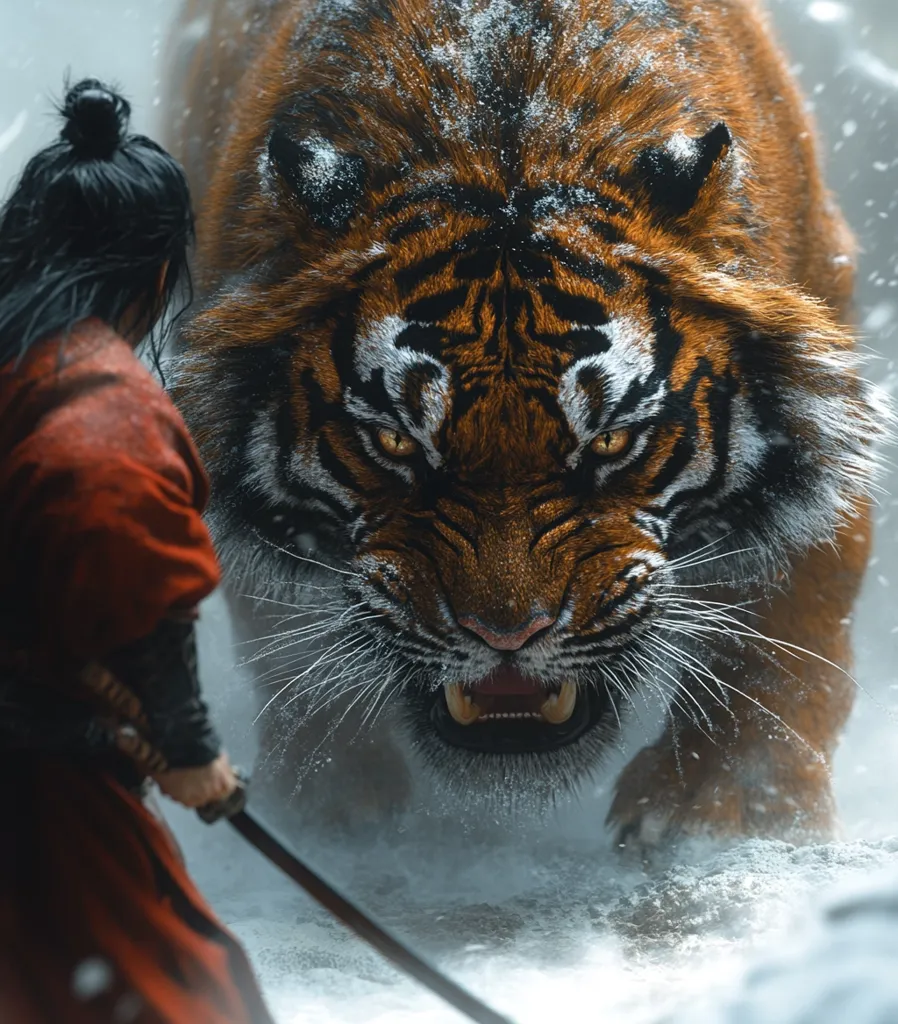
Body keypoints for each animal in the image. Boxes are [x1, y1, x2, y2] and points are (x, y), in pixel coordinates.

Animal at [164, 0, 890, 845]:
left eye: (612, 440)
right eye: (395, 442)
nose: (506, 638)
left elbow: (795, 604)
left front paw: (727, 807)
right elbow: (283, 622)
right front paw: (332, 791)